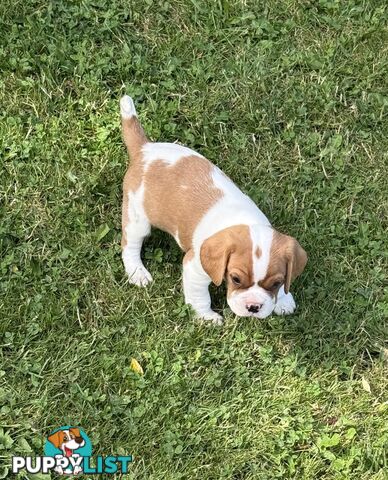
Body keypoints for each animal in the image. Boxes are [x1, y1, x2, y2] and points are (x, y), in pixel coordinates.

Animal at [119, 95, 308, 324]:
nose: (253, 307)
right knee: (129, 246)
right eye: (236, 279)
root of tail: (144, 148)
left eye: (276, 283)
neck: (245, 221)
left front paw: (284, 300)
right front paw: (207, 318)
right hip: (137, 219)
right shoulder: (194, 268)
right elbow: (200, 297)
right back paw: (137, 272)